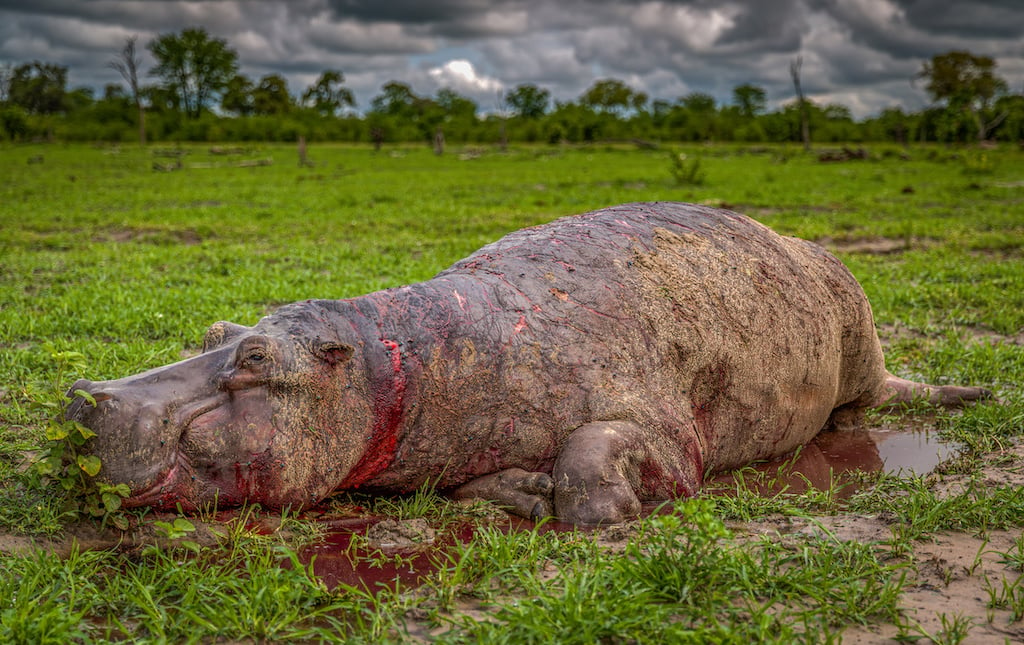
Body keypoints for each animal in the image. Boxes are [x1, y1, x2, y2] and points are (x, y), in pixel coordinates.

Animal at [66, 202, 991, 524]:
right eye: (212, 328)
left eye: (256, 357)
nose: (86, 392)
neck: (412, 364)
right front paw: (518, 492)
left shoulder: (664, 426)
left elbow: (597, 449)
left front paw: (603, 512)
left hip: (860, 345)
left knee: (867, 398)